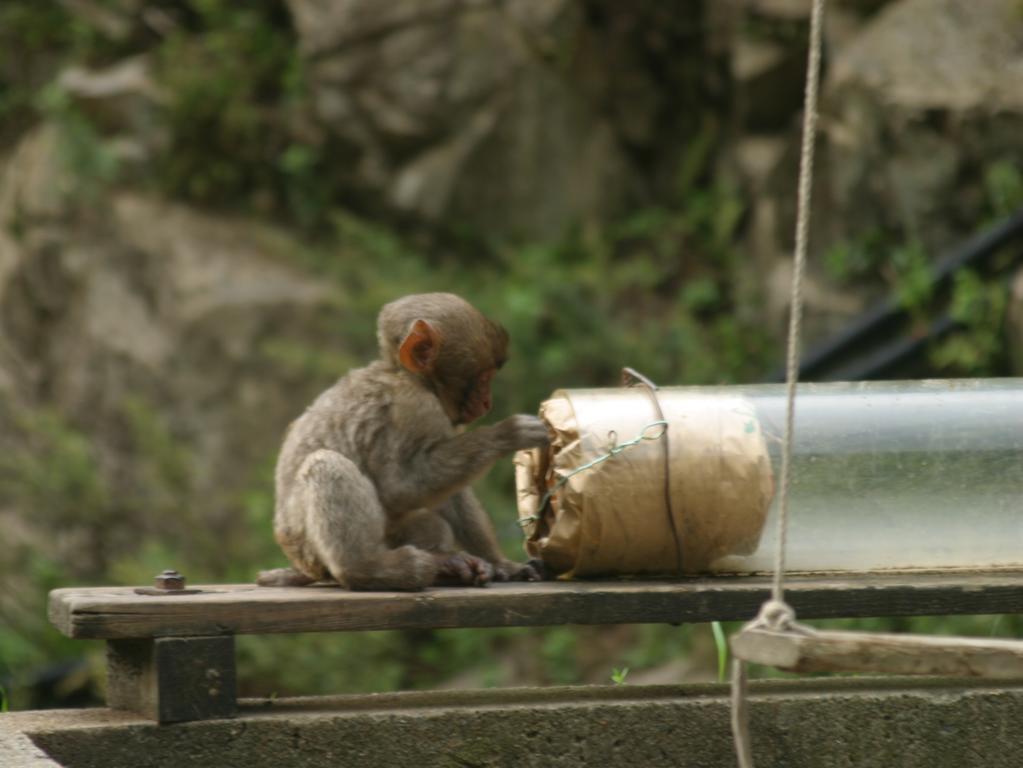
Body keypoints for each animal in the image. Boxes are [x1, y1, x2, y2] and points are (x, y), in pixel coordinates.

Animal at [255, 290, 552, 593]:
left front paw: (502, 564)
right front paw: (507, 434)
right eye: (484, 378)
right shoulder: (414, 408)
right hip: (310, 549)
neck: (405, 375)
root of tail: (302, 565)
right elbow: (397, 487)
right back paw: (367, 568)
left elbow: (451, 494)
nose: (487, 403)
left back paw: (447, 566)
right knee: (326, 464)